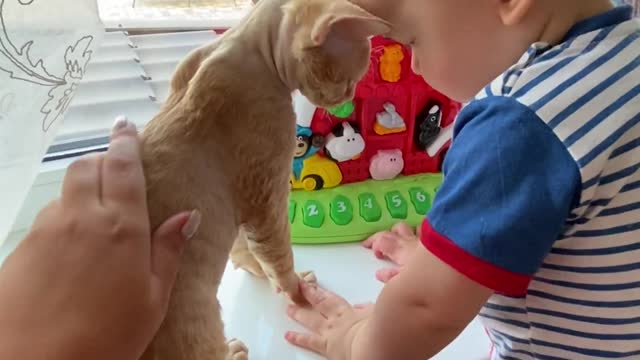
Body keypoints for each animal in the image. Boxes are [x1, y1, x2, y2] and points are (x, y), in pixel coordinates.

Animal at [140, 0, 390, 360]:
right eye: (348, 80)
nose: (347, 97)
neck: (246, 48)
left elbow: (245, 247)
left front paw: (257, 269)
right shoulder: (266, 198)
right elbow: (278, 257)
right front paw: (299, 294)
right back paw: (232, 351)